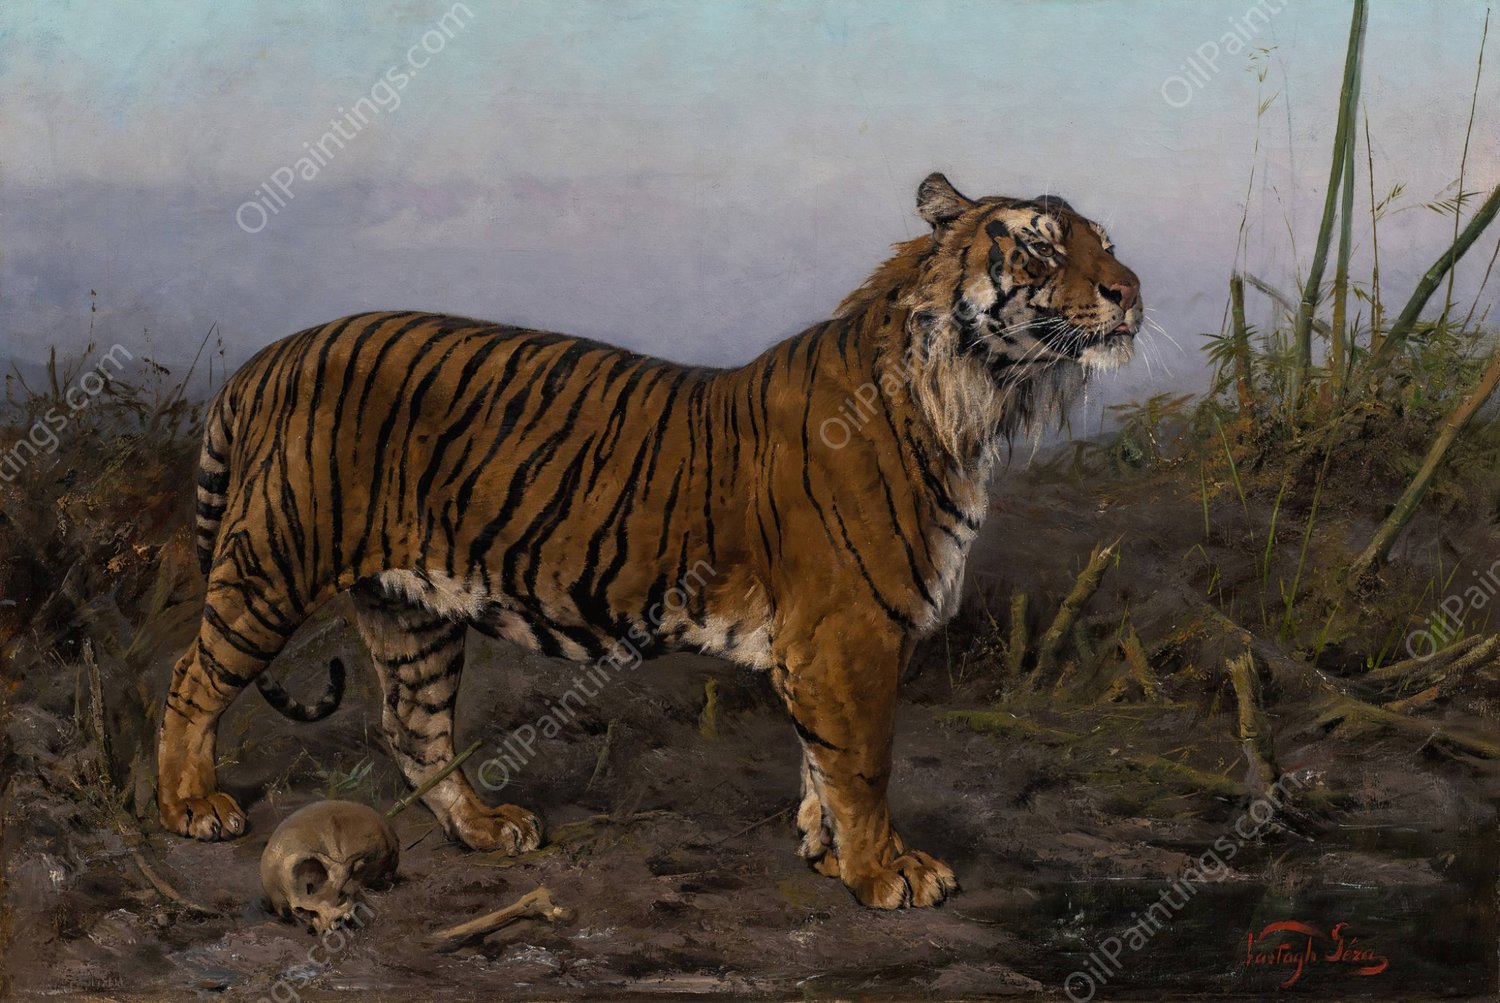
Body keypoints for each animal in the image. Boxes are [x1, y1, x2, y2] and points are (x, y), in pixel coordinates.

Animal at [160, 173, 1140, 909]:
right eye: (1043, 246)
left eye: (1106, 241)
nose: (1131, 291)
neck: (978, 400)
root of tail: (272, 355)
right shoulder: (848, 633)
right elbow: (862, 763)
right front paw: (884, 873)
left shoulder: (823, 644)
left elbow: (821, 763)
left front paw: (827, 854)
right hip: (273, 564)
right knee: (191, 678)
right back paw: (190, 806)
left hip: (412, 608)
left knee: (414, 727)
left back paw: (487, 828)